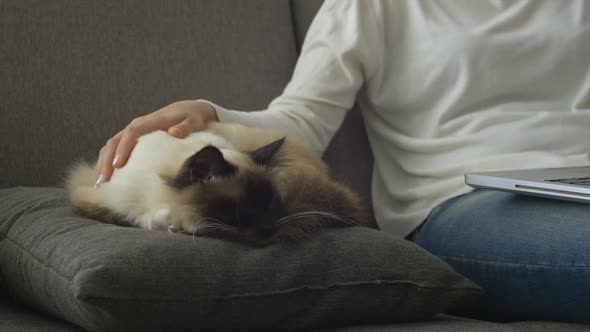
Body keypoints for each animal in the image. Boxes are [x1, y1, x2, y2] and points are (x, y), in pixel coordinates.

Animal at [66, 120, 370, 245]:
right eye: (244, 207)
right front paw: (163, 224)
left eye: (272, 203)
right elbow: (128, 215)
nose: (270, 230)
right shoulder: (95, 194)